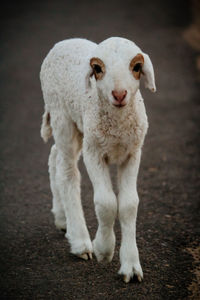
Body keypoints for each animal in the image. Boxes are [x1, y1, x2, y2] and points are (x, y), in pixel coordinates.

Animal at [39, 36, 155, 282]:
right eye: (98, 69)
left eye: (137, 67)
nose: (119, 94)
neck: (118, 126)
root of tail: (64, 42)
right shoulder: (94, 152)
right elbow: (106, 202)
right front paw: (104, 249)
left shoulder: (132, 153)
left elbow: (129, 204)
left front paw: (131, 266)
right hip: (63, 117)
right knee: (68, 173)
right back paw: (80, 241)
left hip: (77, 126)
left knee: (54, 157)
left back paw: (62, 219)